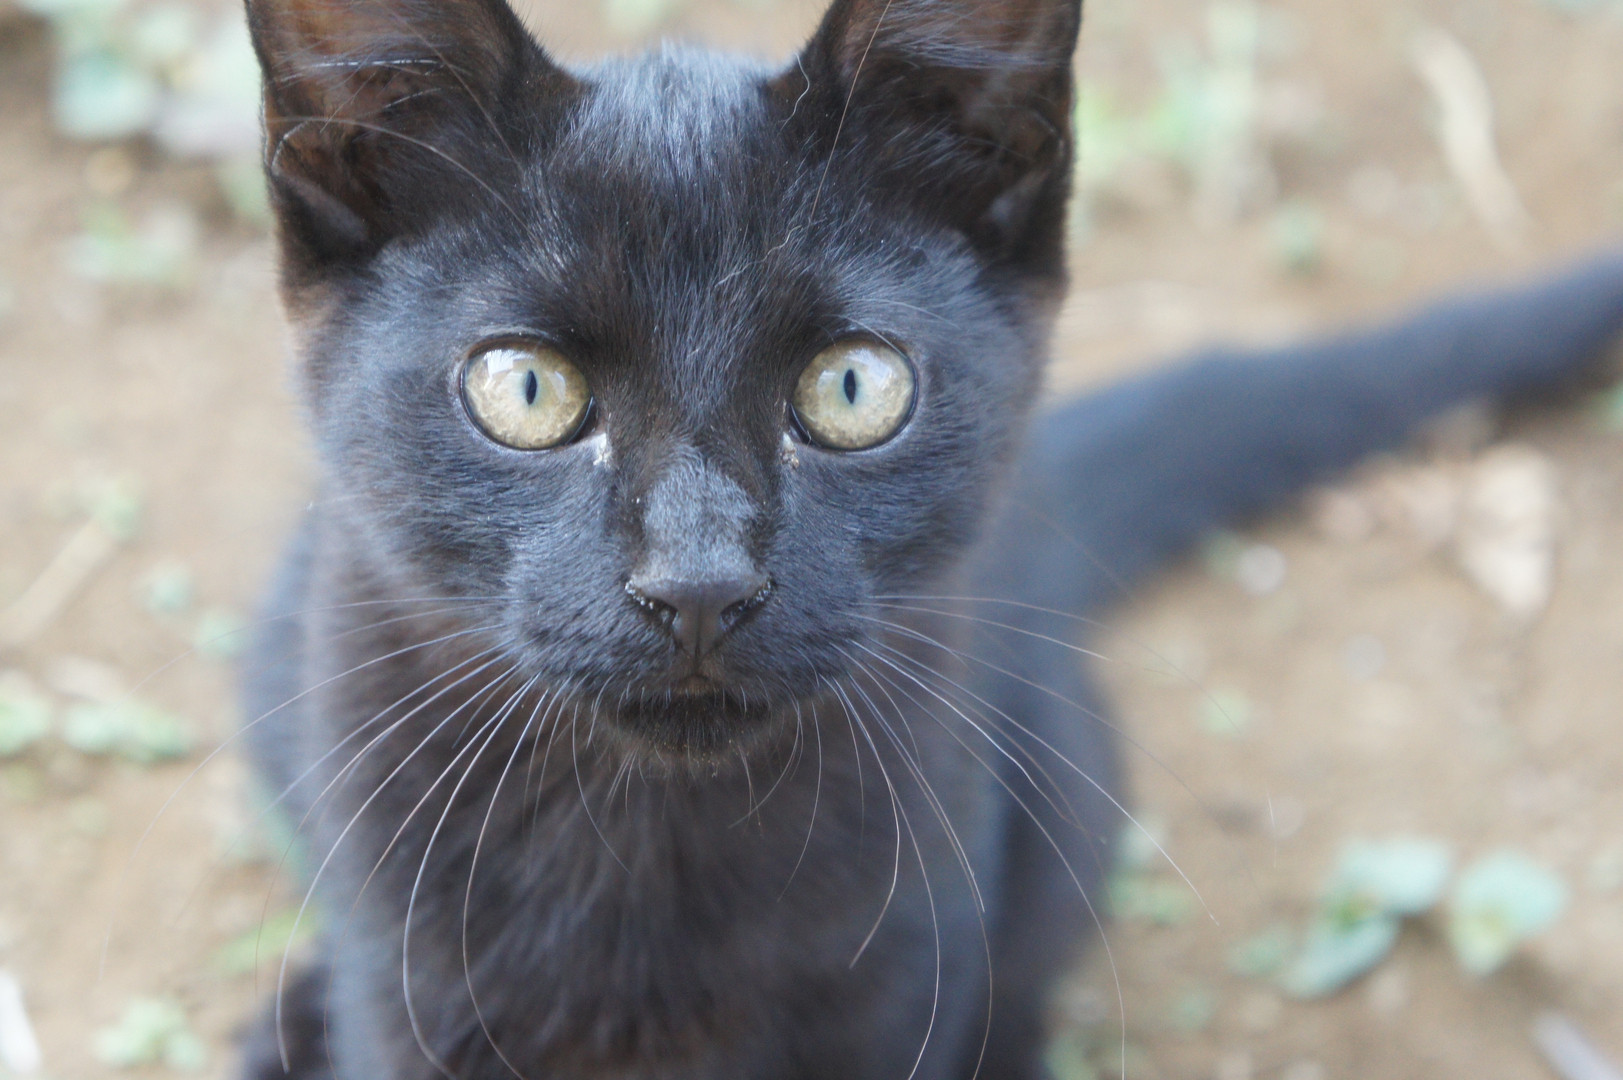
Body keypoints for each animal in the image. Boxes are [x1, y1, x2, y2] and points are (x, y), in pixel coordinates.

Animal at [236, 0, 1623, 1077]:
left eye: (854, 389)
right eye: (527, 391)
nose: (701, 579)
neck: (646, 852)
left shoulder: (905, 969)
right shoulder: (409, 978)